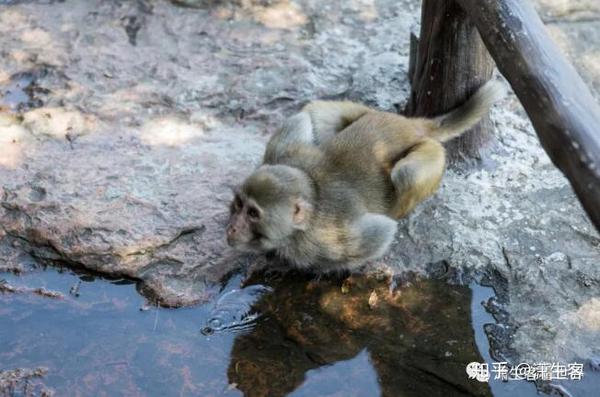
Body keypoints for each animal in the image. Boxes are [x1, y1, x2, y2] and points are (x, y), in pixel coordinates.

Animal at [227, 80, 504, 272]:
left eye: (253, 214)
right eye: (238, 204)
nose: (231, 228)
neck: (312, 192)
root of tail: (413, 125)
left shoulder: (325, 242)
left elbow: (381, 232)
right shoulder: (281, 157)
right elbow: (301, 120)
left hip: (428, 151)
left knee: (407, 173)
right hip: (367, 112)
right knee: (314, 111)